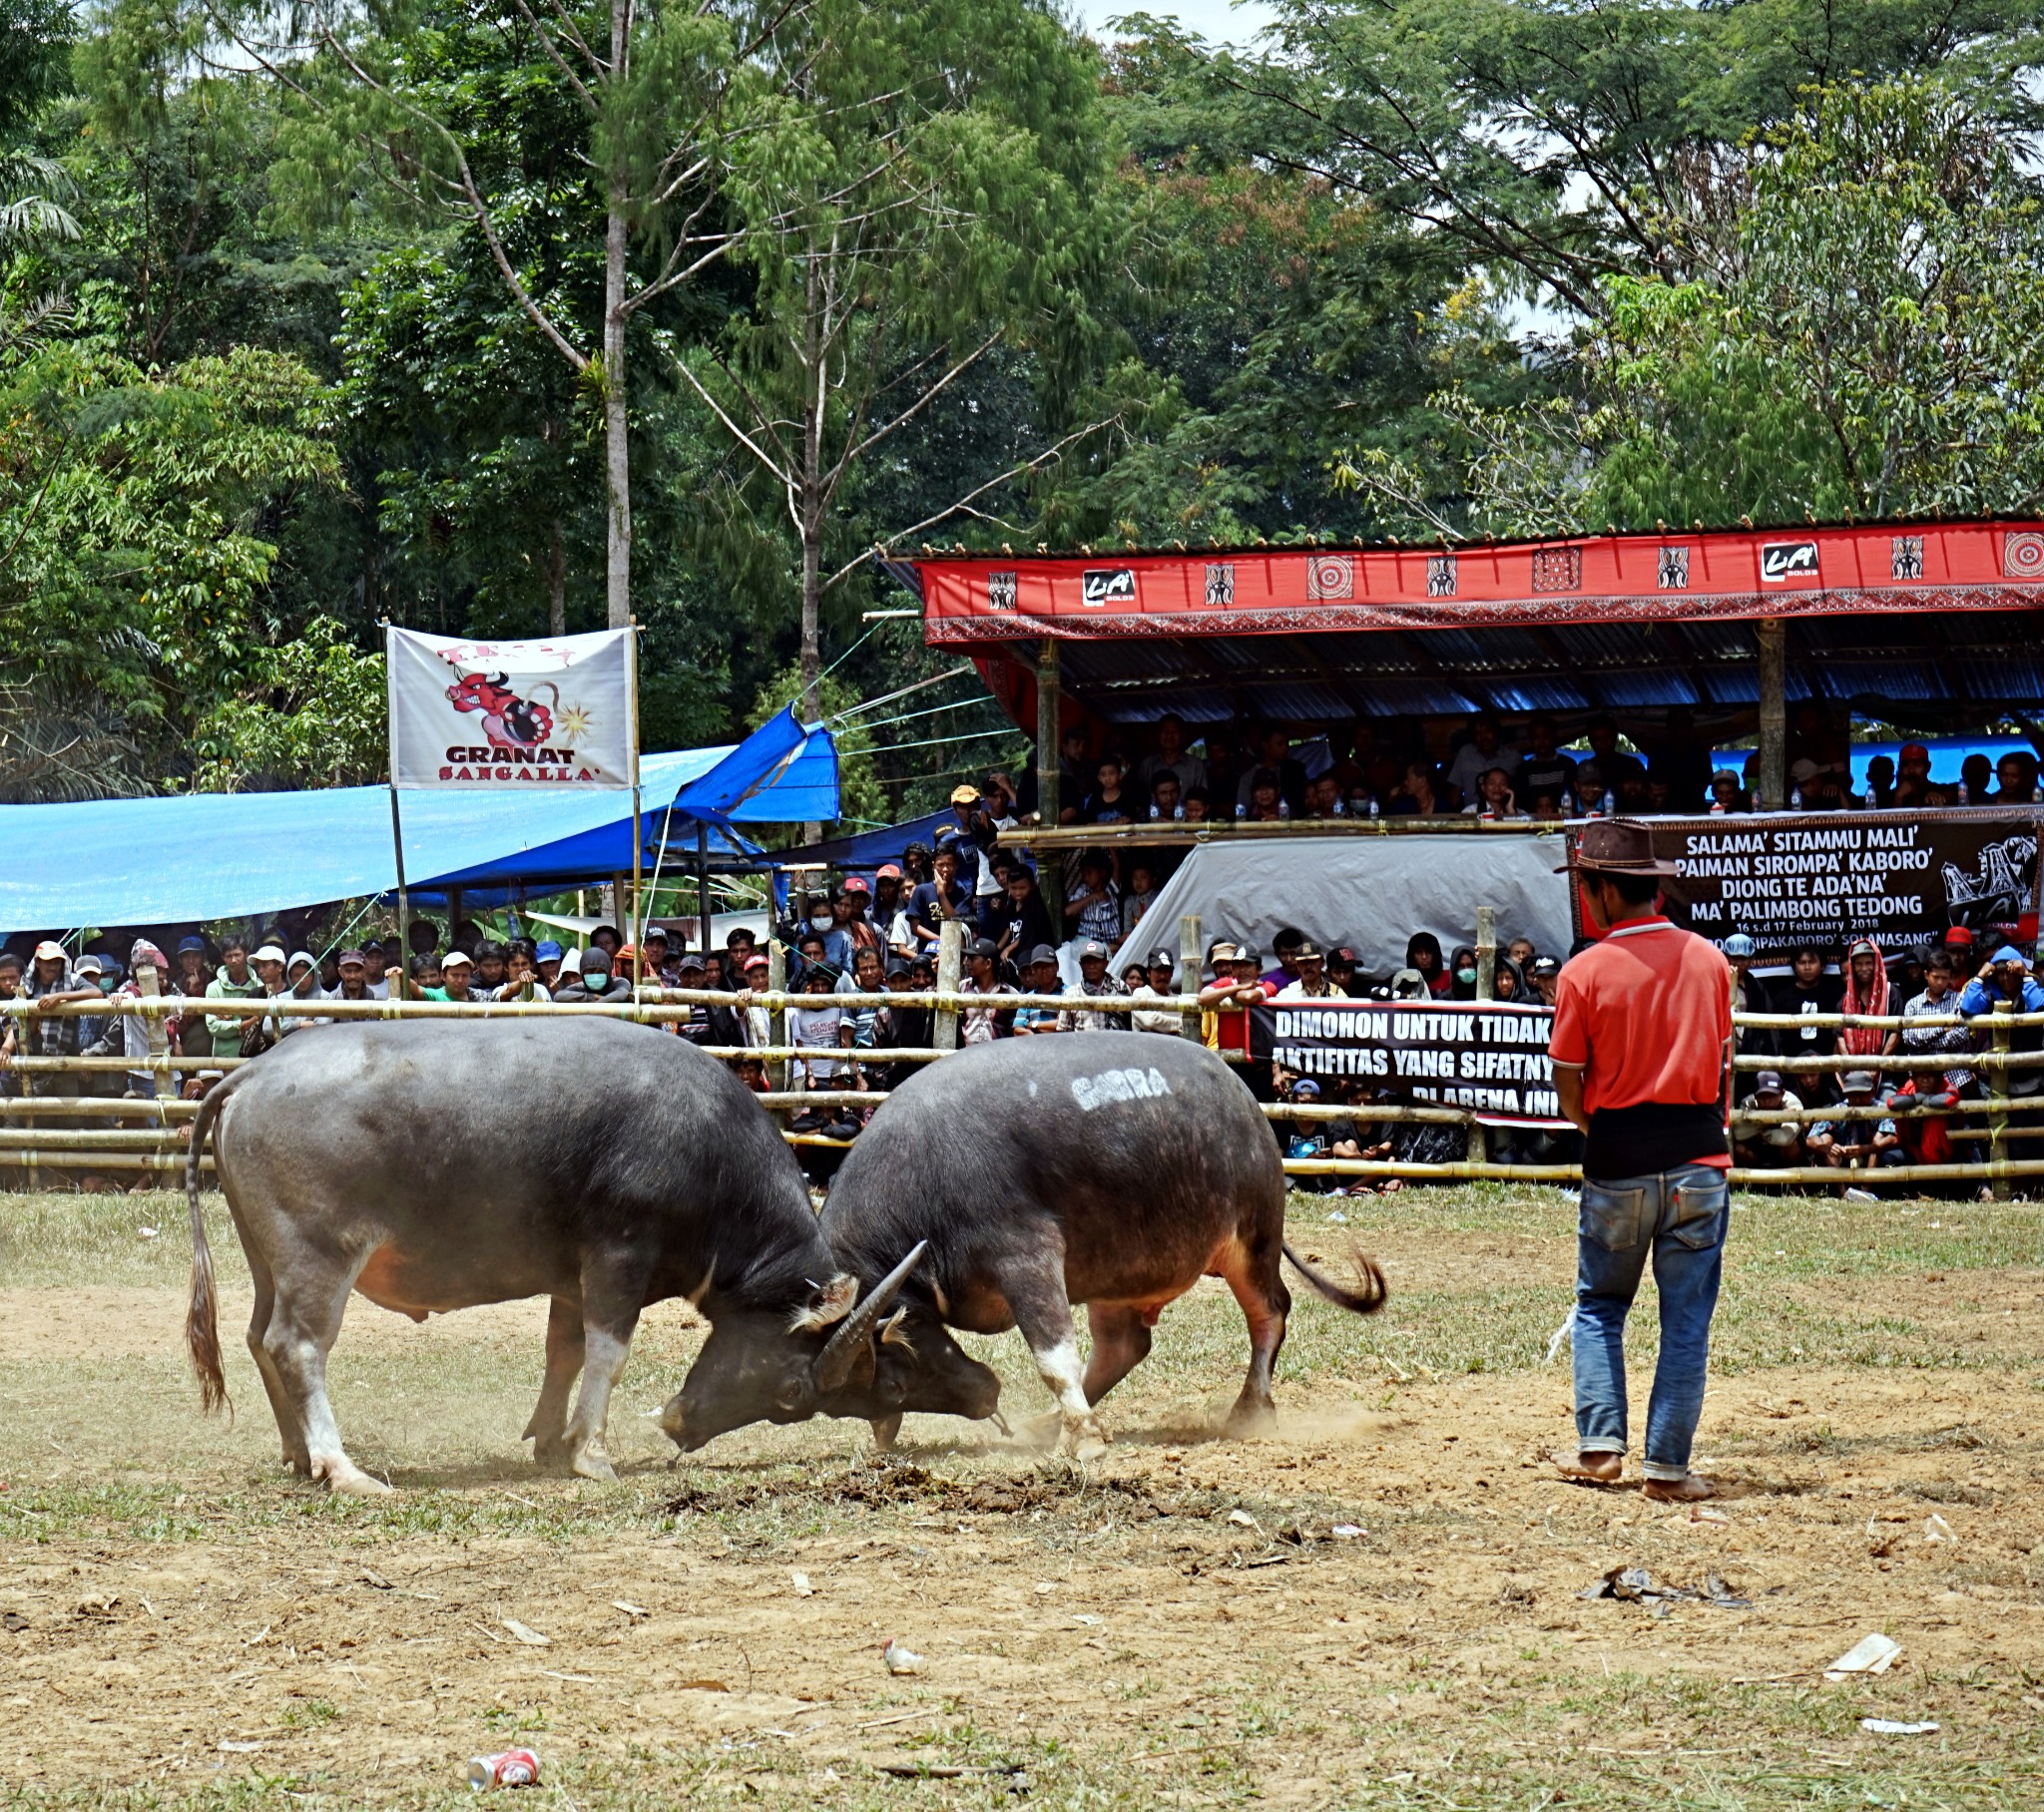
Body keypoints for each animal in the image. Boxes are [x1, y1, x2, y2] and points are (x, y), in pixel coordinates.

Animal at [188, 1025, 923, 1495]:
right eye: (793, 1390)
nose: (681, 1429)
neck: (708, 1155)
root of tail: (255, 1070)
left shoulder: (572, 1281)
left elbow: (562, 1352)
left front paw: (549, 1440)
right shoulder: (618, 1261)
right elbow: (607, 1355)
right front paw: (591, 1453)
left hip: (265, 1259)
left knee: (256, 1336)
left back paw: (296, 1453)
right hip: (320, 1257)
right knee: (296, 1344)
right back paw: (340, 1467)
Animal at [804, 1033, 1381, 1462]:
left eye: (895, 1386)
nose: (987, 1396)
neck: (921, 1186)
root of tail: (1242, 1095)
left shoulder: (1026, 1254)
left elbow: (1052, 1355)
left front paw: (1084, 1440)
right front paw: (1079, 1428)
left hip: (1252, 1239)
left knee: (1270, 1312)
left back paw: (1250, 1409)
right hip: (1118, 1270)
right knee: (1124, 1345)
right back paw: (1050, 1422)